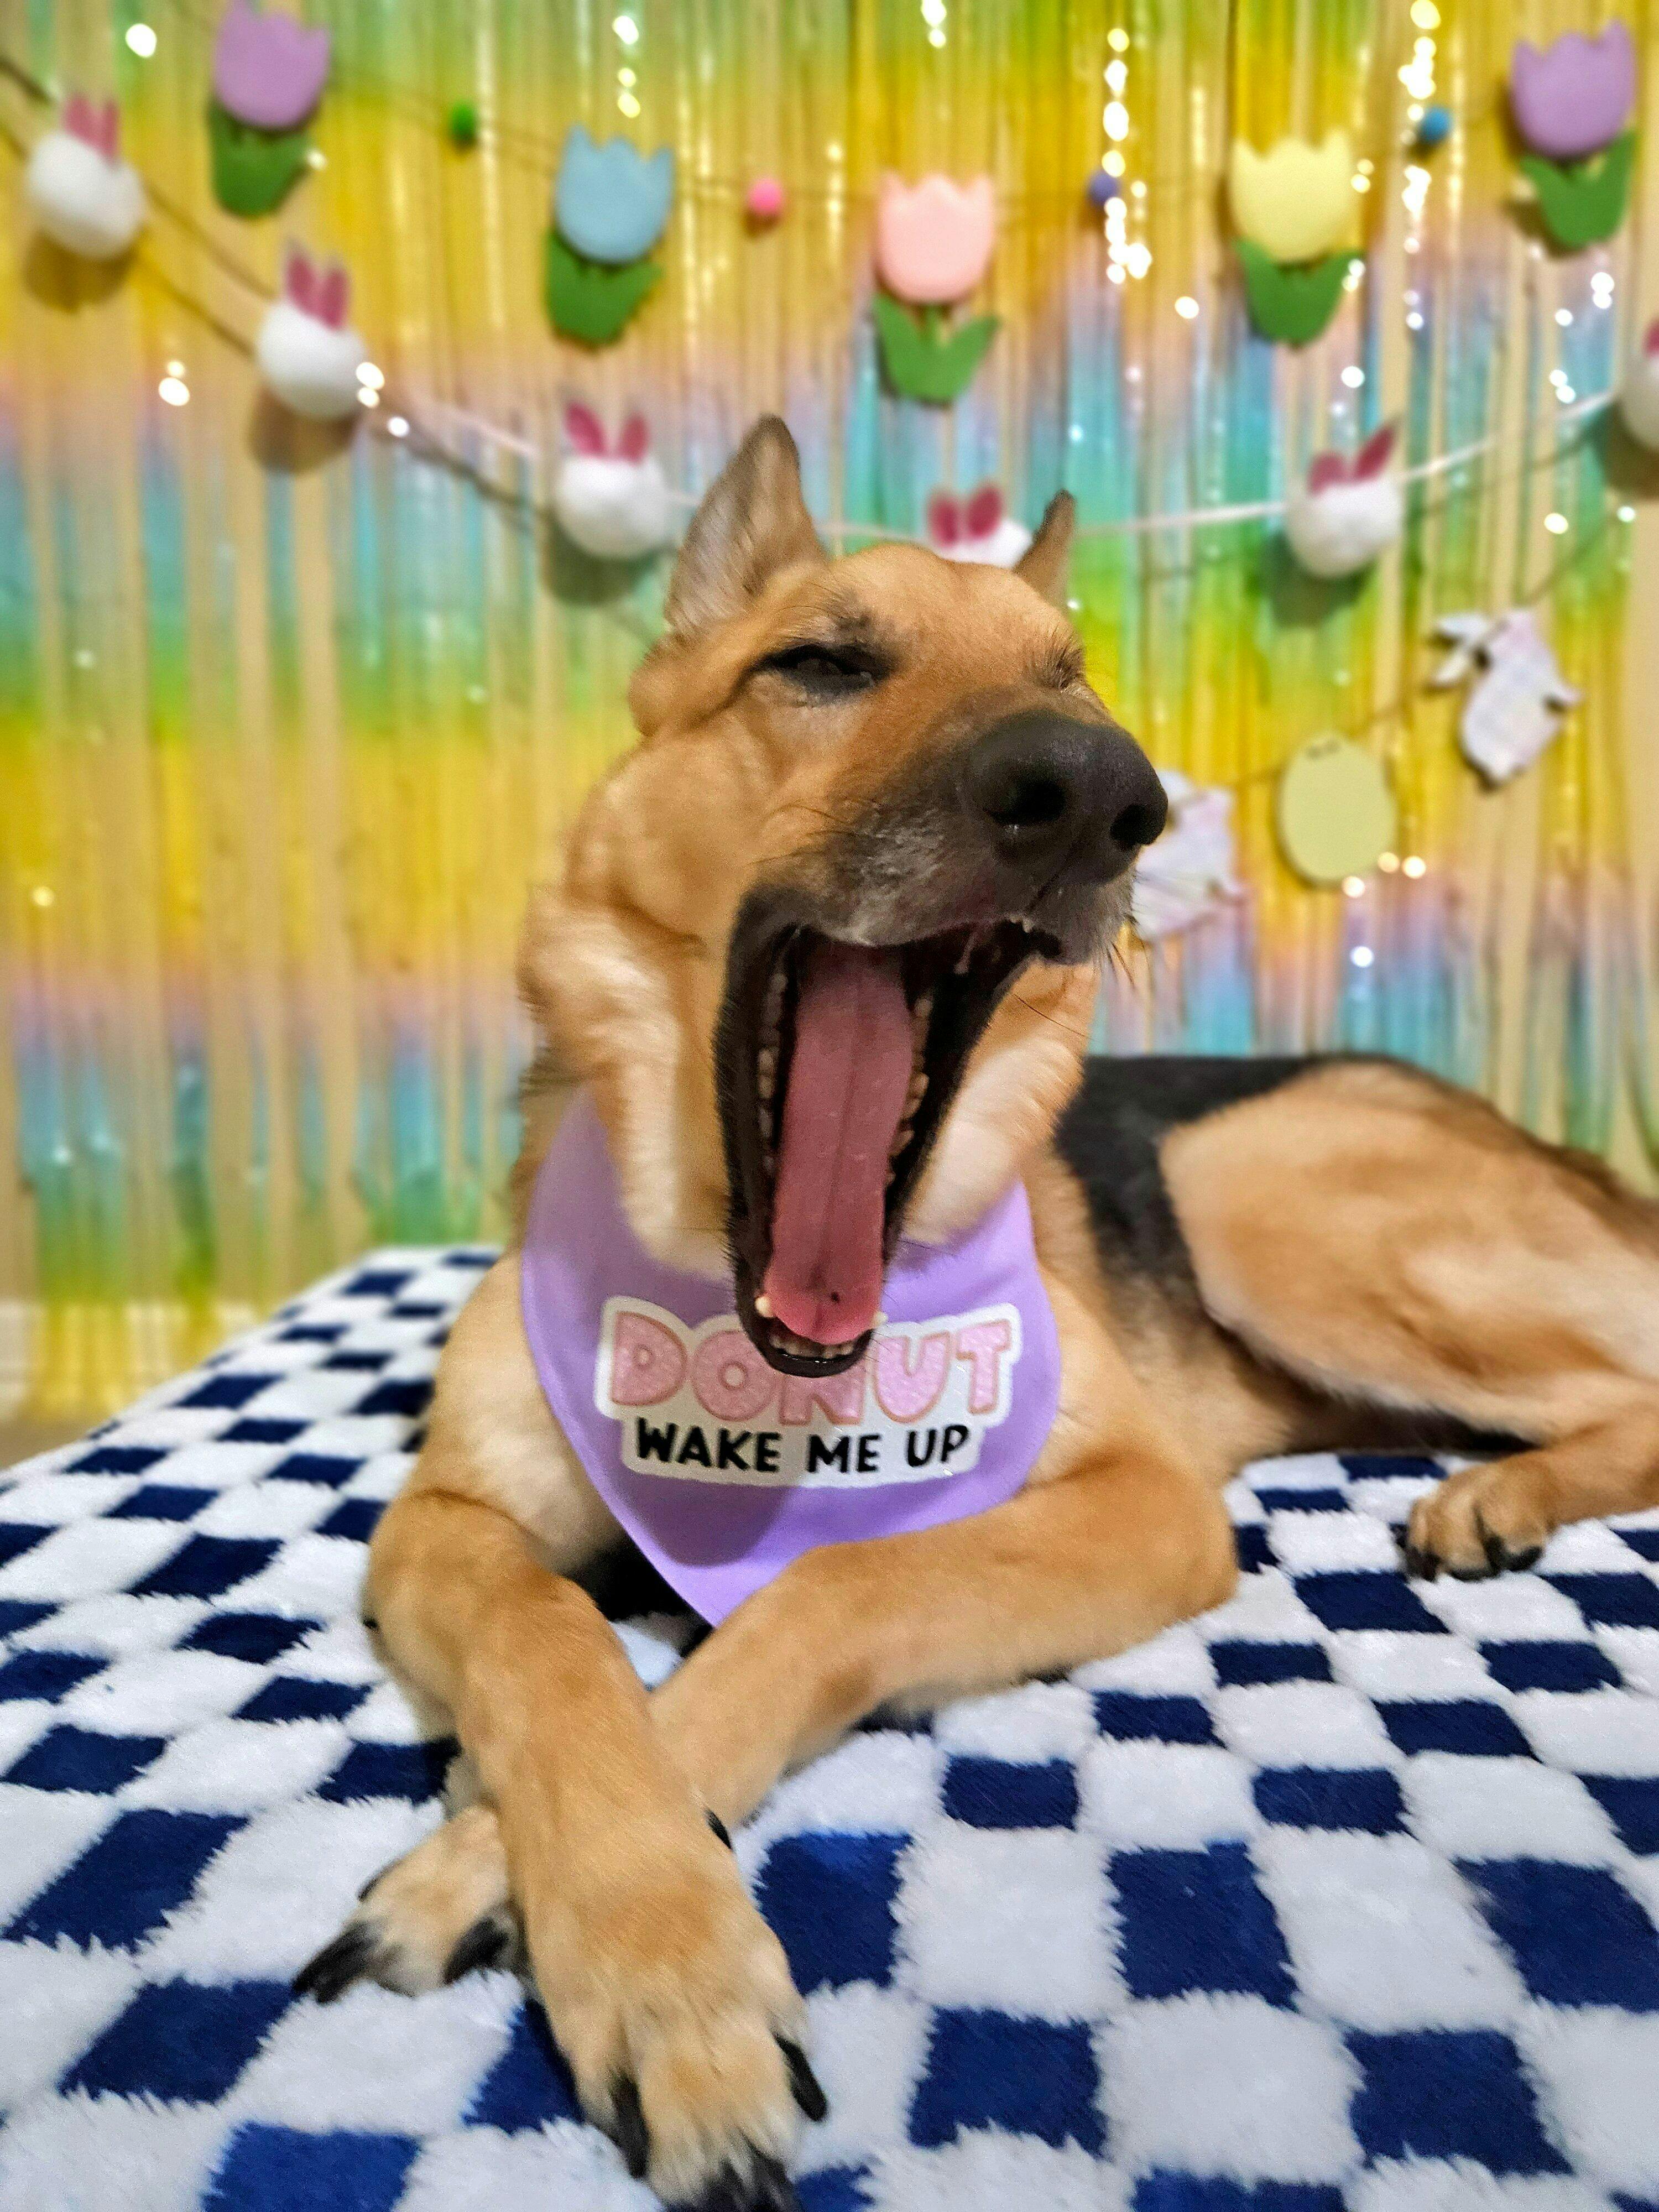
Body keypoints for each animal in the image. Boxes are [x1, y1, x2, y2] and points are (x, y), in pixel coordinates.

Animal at [297, 418, 1659, 2212]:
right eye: (819, 663)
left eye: (1070, 679)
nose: (1096, 791)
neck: (756, 1353)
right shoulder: (442, 1519)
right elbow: (554, 1632)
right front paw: (609, 1901)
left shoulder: (1140, 1506)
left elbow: (834, 1588)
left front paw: (596, 1931)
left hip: (1254, 1183)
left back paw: (1504, 1491)